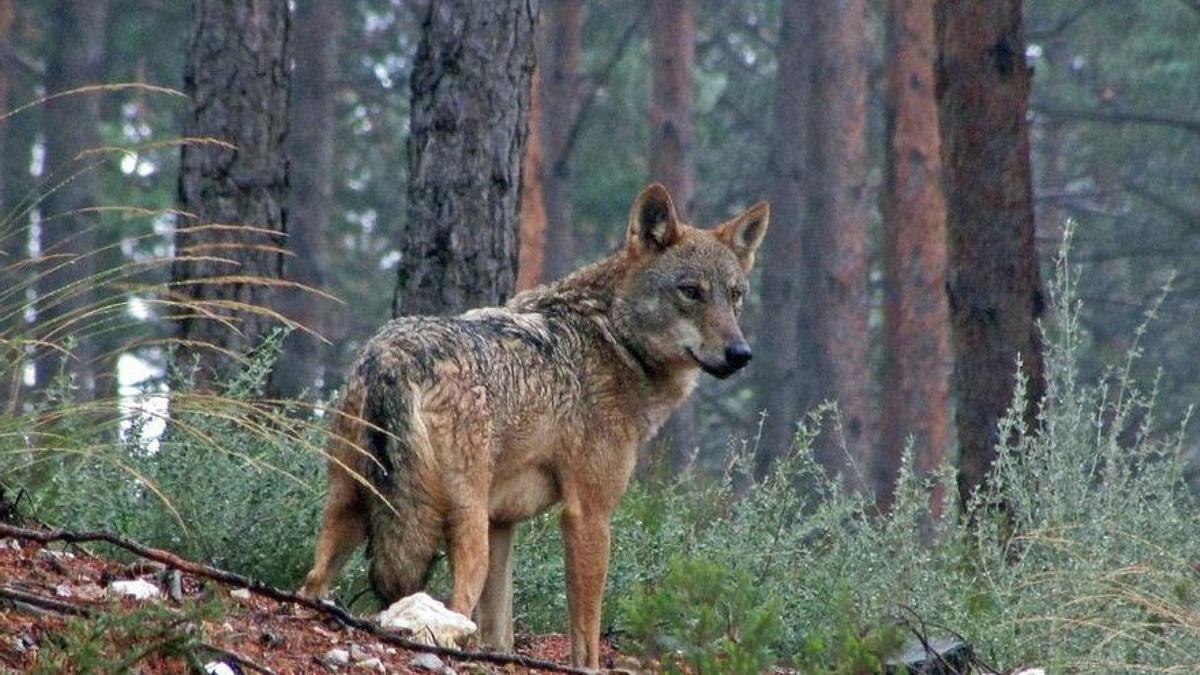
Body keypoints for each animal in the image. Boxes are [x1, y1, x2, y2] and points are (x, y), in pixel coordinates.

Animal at [300, 181, 768, 662]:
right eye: (690, 291)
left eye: (735, 295)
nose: (740, 354)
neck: (613, 341)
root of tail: (391, 358)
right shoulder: (588, 514)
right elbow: (586, 638)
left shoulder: (503, 523)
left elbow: (499, 631)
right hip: (463, 532)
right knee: (450, 610)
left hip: (352, 511)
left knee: (313, 583)